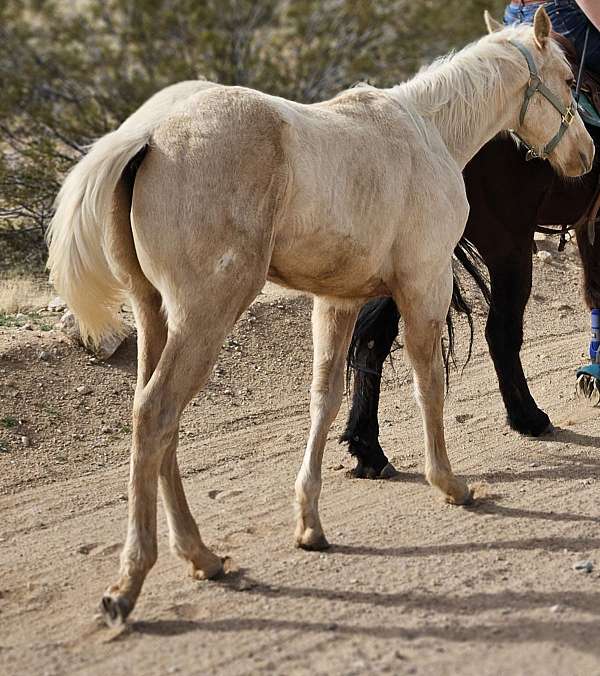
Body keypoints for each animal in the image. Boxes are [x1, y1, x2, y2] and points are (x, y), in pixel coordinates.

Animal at [47, 10, 592, 624]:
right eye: (568, 80)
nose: (586, 155)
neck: (426, 132)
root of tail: (148, 135)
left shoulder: (339, 302)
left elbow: (326, 397)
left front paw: (309, 522)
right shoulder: (425, 284)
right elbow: (428, 384)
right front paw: (449, 483)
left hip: (154, 316)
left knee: (162, 425)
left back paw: (201, 555)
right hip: (204, 318)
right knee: (156, 414)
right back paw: (131, 580)